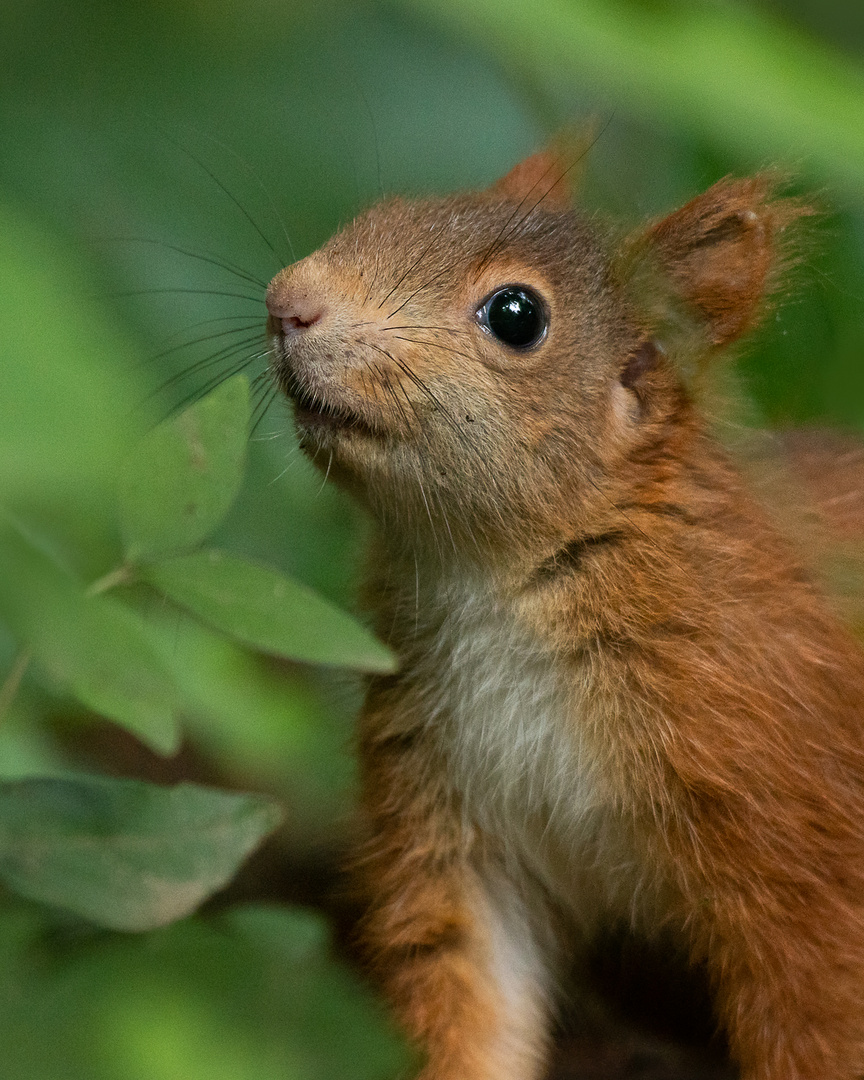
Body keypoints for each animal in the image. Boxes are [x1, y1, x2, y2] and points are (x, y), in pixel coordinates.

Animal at [263, 145, 864, 1080]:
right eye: (381, 212)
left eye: (517, 315)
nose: (287, 300)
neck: (496, 585)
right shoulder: (449, 808)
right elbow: (466, 988)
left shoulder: (793, 819)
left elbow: (818, 1009)